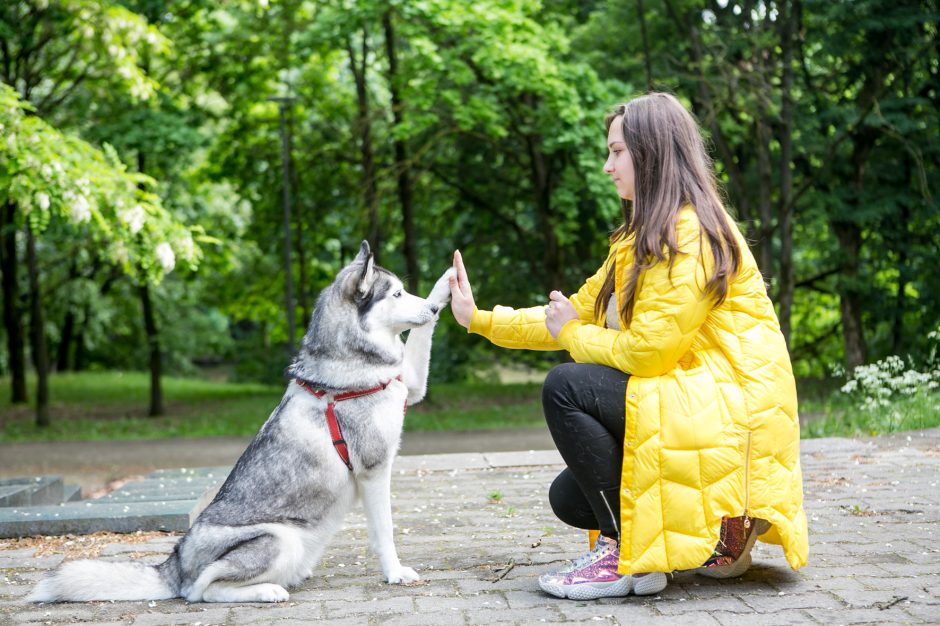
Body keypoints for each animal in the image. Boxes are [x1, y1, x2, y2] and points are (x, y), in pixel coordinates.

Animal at [30, 241, 456, 604]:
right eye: (397, 294)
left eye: (408, 291)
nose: (432, 311)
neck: (349, 363)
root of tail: (174, 565)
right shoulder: (373, 470)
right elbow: (385, 532)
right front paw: (395, 573)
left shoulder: (410, 385)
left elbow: (420, 344)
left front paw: (449, 282)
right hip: (279, 538)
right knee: (202, 591)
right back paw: (267, 591)